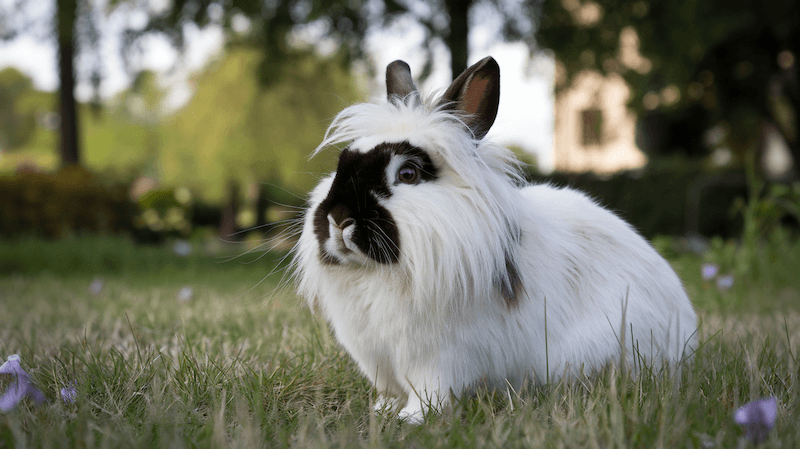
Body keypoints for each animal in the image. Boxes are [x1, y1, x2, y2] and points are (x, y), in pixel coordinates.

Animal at [292, 56, 692, 424]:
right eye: (341, 165)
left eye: (407, 173)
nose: (338, 218)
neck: (380, 274)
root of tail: (687, 329)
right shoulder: (382, 360)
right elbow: (392, 391)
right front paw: (384, 410)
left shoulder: (440, 361)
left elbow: (429, 395)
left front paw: (410, 419)